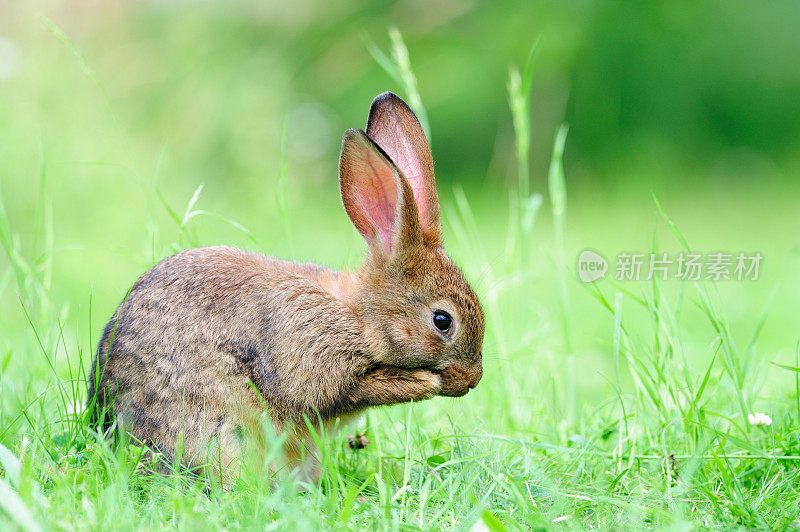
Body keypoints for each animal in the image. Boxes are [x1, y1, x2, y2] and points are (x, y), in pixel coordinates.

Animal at [90, 91, 484, 482]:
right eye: (442, 321)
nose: (472, 380)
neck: (359, 318)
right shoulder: (312, 360)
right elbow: (339, 394)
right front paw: (423, 383)